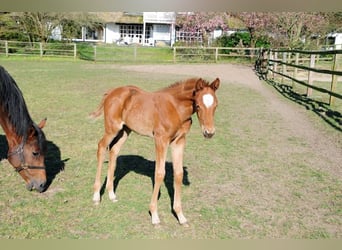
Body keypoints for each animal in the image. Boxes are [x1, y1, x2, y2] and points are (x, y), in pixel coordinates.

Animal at [90, 77, 219, 226]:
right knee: (101, 147)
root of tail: (111, 92)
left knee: (113, 150)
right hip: (112, 128)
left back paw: (111, 194)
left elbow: (178, 173)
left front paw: (180, 216)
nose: (209, 133)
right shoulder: (161, 140)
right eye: (198, 105)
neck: (176, 109)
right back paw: (96, 196)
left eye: (216, 106)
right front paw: (154, 215)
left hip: (125, 130)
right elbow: (159, 173)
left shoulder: (179, 141)